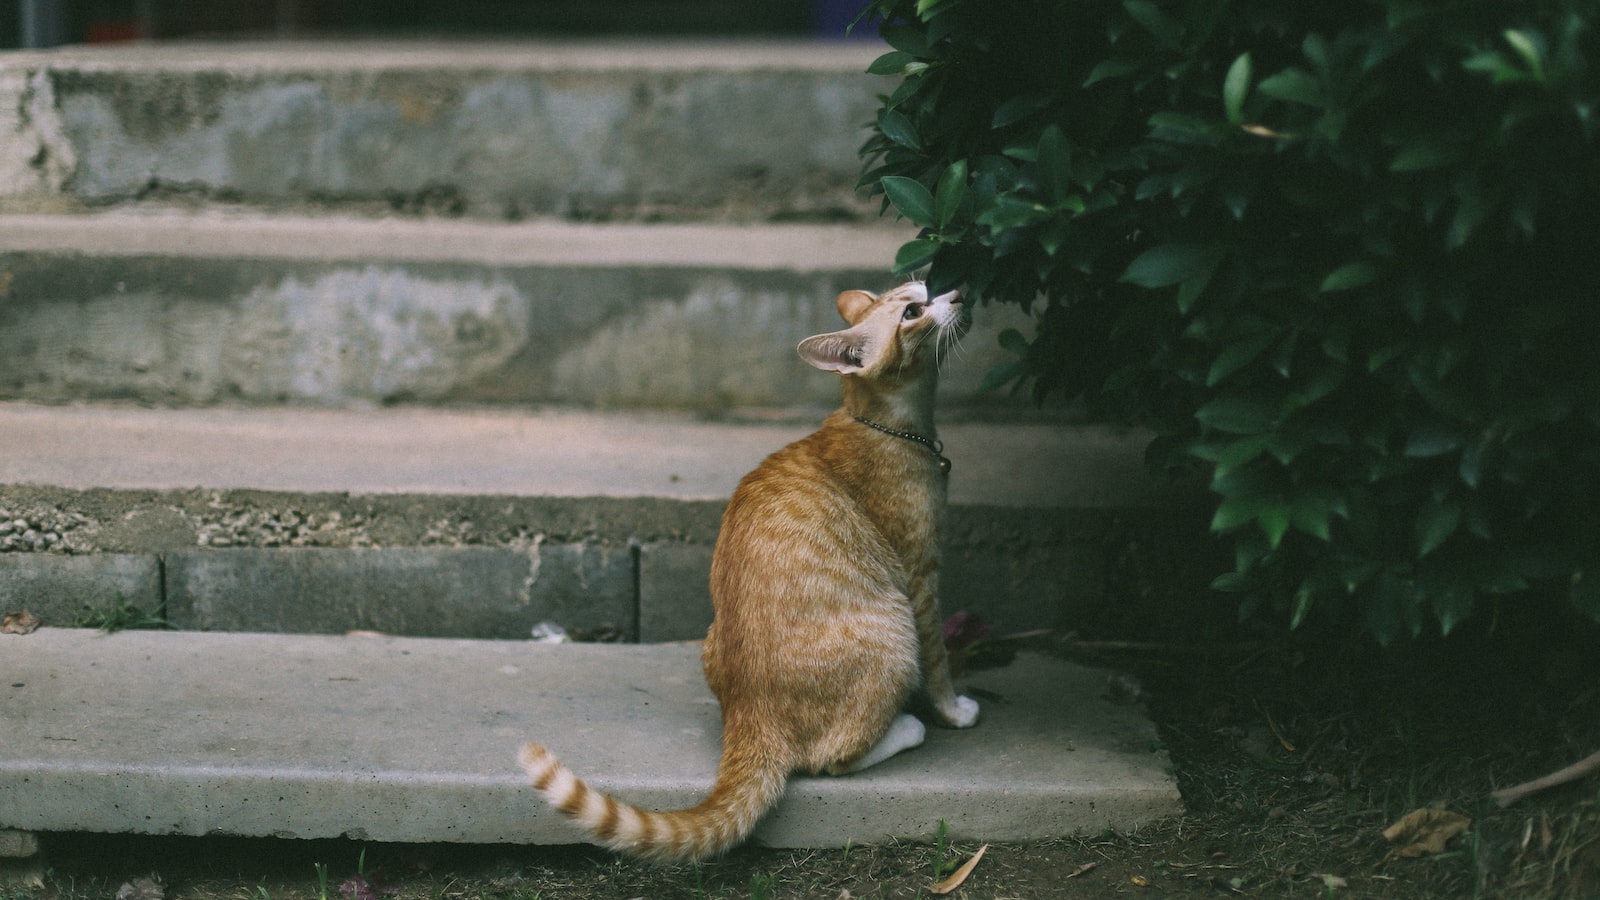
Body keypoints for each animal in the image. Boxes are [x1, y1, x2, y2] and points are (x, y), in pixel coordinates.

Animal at [518, 280, 979, 851]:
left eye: (926, 287)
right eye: (914, 311)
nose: (959, 293)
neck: (890, 425)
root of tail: (750, 715)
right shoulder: (921, 578)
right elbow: (939, 662)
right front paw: (953, 711)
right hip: (894, 631)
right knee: (831, 760)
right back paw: (906, 729)